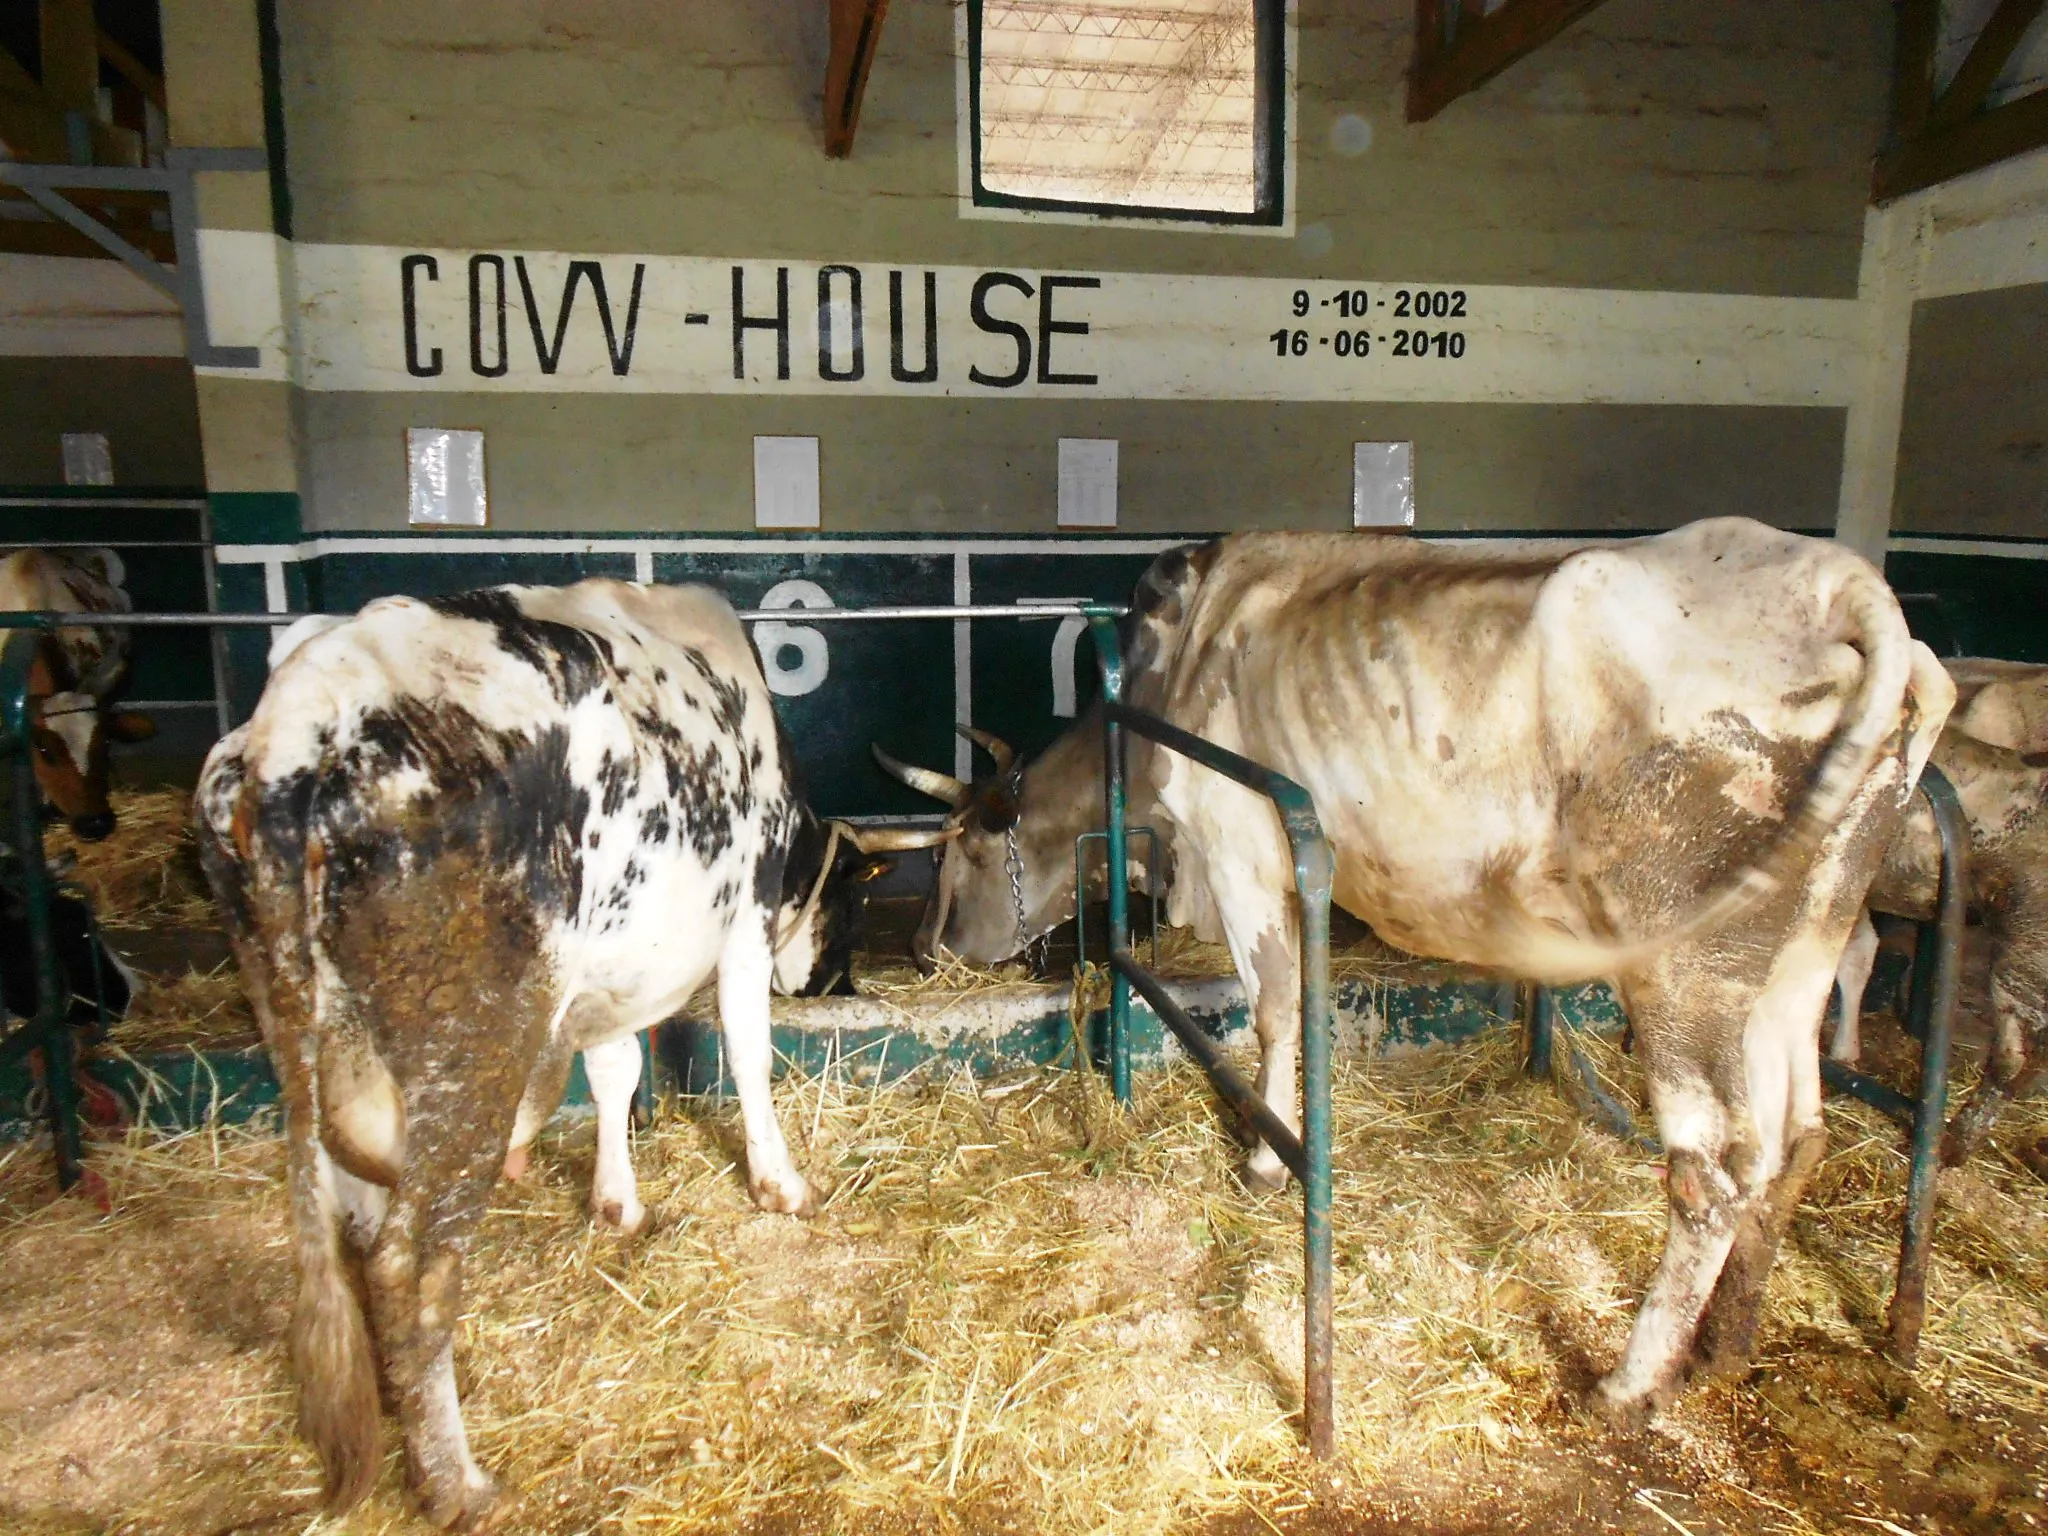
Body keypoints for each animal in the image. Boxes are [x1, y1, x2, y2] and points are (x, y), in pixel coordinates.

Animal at [195, 579, 944, 1528]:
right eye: (854, 900)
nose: (841, 983)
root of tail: (300, 721)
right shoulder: (740, 916)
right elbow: (746, 1048)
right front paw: (781, 1183)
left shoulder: (613, 965)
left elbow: (615, 1070)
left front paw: (615, 1200)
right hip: (470, 1049)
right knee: (412, 1264)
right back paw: (455, 1482)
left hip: (316, 1030)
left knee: (357, 1223)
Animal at [877, 521, 1952, 1427]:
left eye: (960, 850)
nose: (925, 948)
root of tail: (1838, 583)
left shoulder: (1238, 841)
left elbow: (1276, 1008)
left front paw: (1266, 1159)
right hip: (1800, 951)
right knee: (1796, 1140)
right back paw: (1728, 1345)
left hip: (1688, 968)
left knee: (1714, 1173)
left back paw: (1629, 1381)